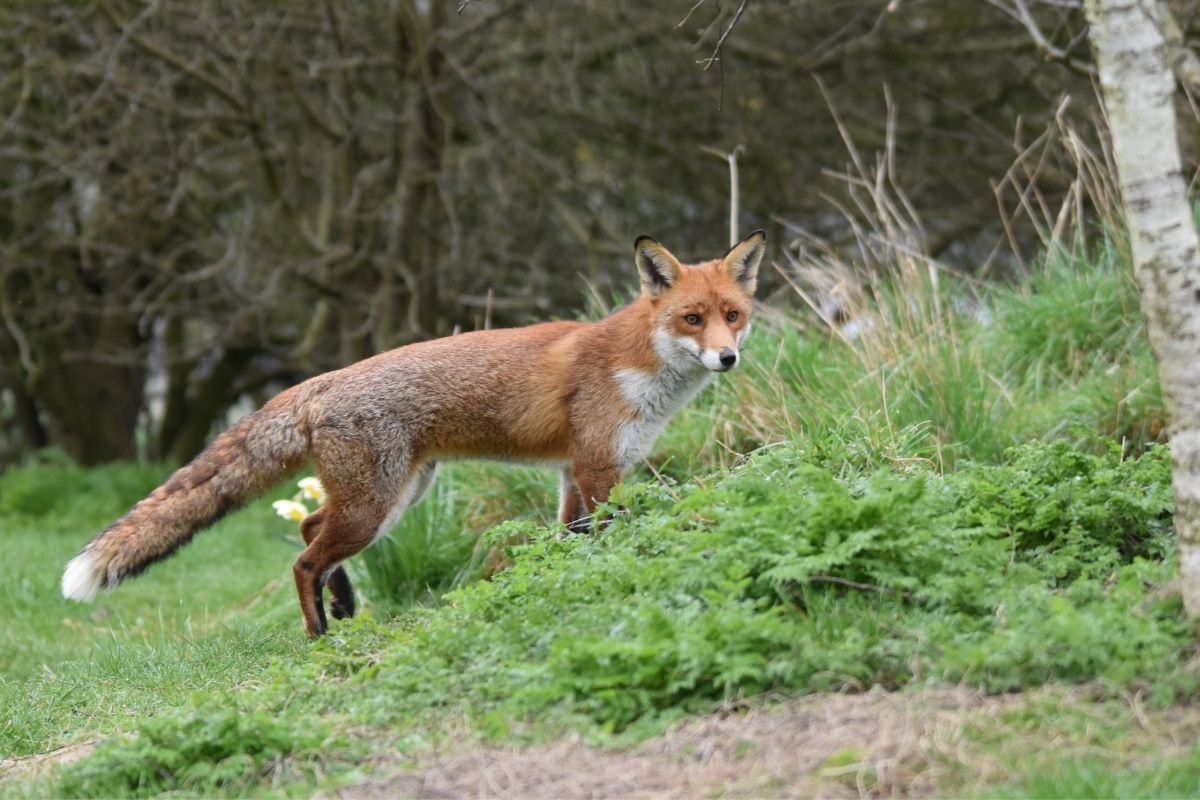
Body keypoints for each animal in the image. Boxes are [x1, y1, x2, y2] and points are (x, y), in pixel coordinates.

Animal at [61, 230, 766, 637]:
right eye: (692, 318)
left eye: (733, 316)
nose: (728, 357)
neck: (639, 367)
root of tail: (321, 381)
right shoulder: (596, 467)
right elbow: (607, 539)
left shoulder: (575, 472)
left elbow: (571, 543)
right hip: (376, 505)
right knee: (303, 559)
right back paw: (321, 637)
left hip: (396, 496)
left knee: (308, 529)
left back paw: (345, 606)